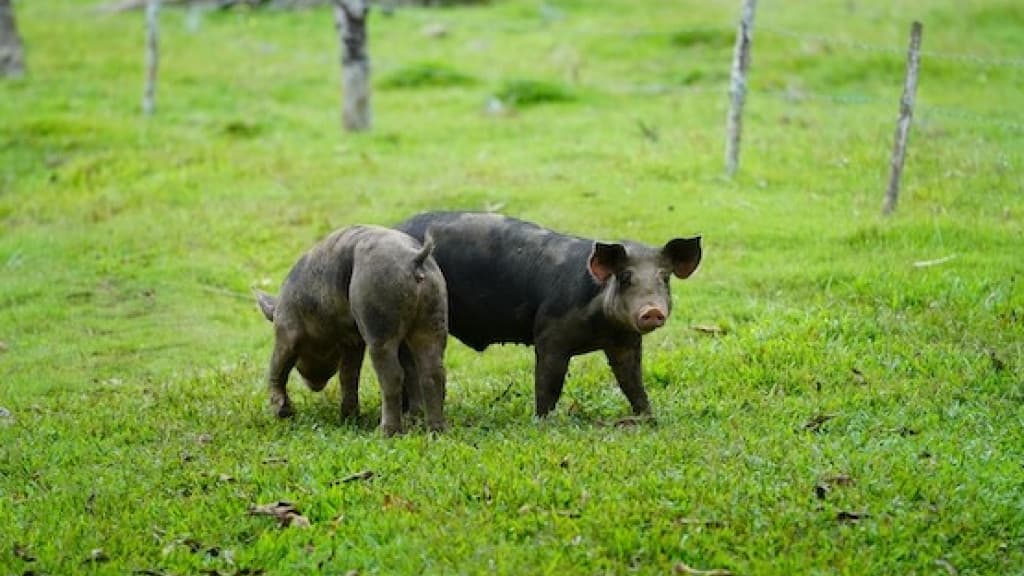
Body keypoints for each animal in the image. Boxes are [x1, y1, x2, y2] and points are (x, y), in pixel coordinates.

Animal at [255, 225, 448, 435]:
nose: (314, 386)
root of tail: (415, 260)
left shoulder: (287, 329)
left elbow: (278, 366)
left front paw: (283, 413)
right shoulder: (352, 340)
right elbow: (349, 374)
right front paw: (349, 419)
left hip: (378, 318)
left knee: (392, 374)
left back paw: (386, 432)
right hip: (433, 315)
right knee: (432, 371)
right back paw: (433, 430)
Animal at [396, 212, 701, 418]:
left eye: (664, 278)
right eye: (625, 277)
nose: (652, 311)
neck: (601, 328)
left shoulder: (625, 341)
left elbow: (632, 380)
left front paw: (648, 417)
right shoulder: (550, 334)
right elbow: (548, 381)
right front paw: (542, 420)